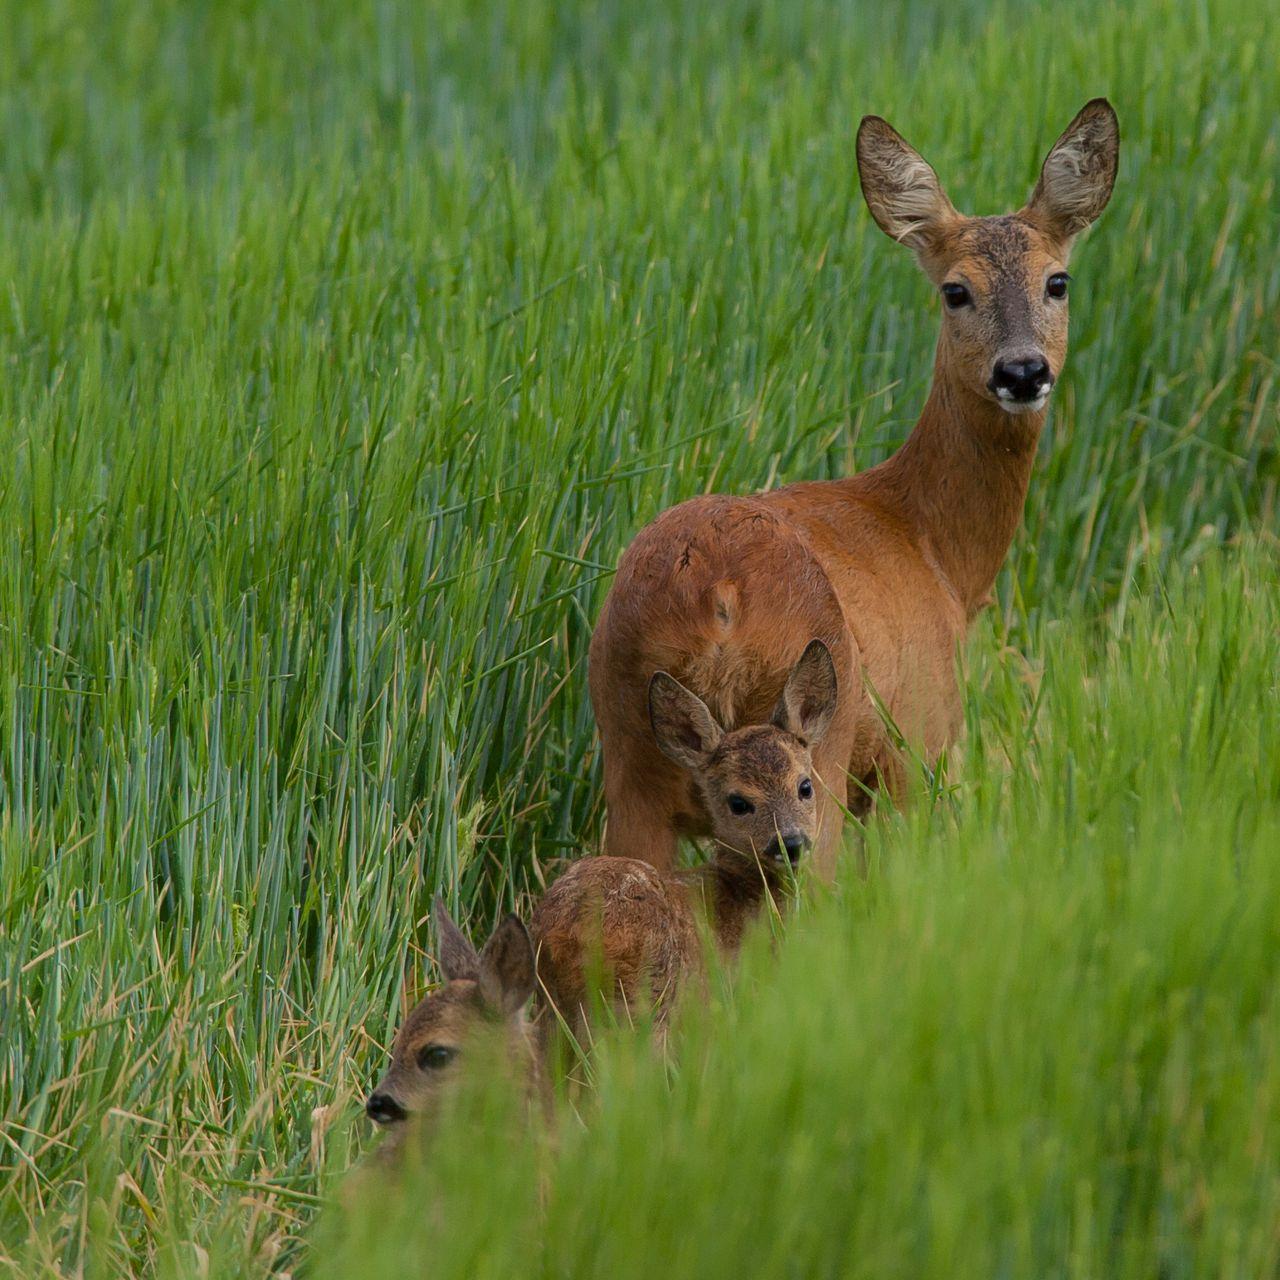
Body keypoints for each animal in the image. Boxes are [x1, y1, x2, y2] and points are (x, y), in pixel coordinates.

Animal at [588, 104, 1121, 875]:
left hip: (627, 752)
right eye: (955, 290)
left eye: (1058, 282)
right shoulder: (922, 740)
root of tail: (717, 595)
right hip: (821, 752)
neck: (936, 553)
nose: (1022, 371)